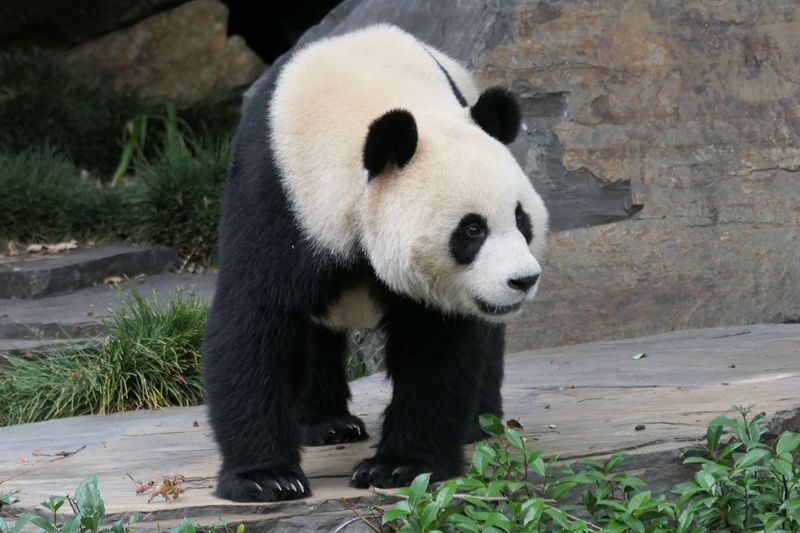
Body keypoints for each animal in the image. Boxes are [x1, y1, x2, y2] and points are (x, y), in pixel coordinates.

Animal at [203, 24, 548, 502]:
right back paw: (326, 425)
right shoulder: (276, 198)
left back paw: (477, 423)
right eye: (471, 230)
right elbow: (254, 323)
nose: (522, 280)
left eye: (520, 219)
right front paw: (265, 477)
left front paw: (400, 466)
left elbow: (436, 345)